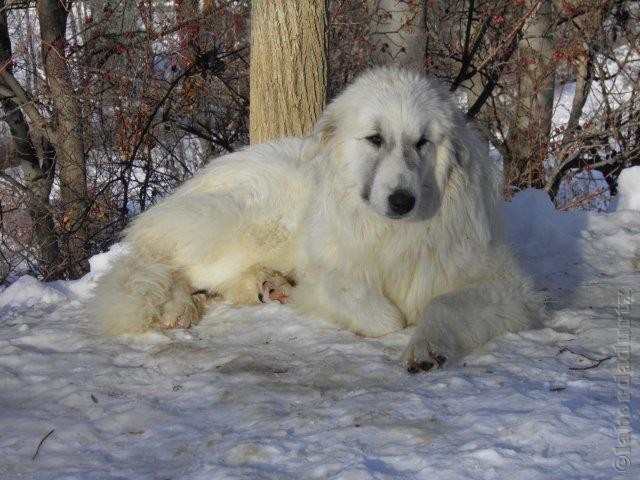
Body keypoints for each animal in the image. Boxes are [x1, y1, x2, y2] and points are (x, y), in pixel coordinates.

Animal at [89, 67, 540, 374]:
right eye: (375, 139)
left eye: (422, 142)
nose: (401, 200)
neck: (393, 234)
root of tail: (202, 177)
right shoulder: (333, 271)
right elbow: (384, 315)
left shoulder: (507, 287)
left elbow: (442, 303)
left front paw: (426, 345)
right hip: (252, 228)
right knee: (169, 266)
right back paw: (180, 305)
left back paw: (266, 286)